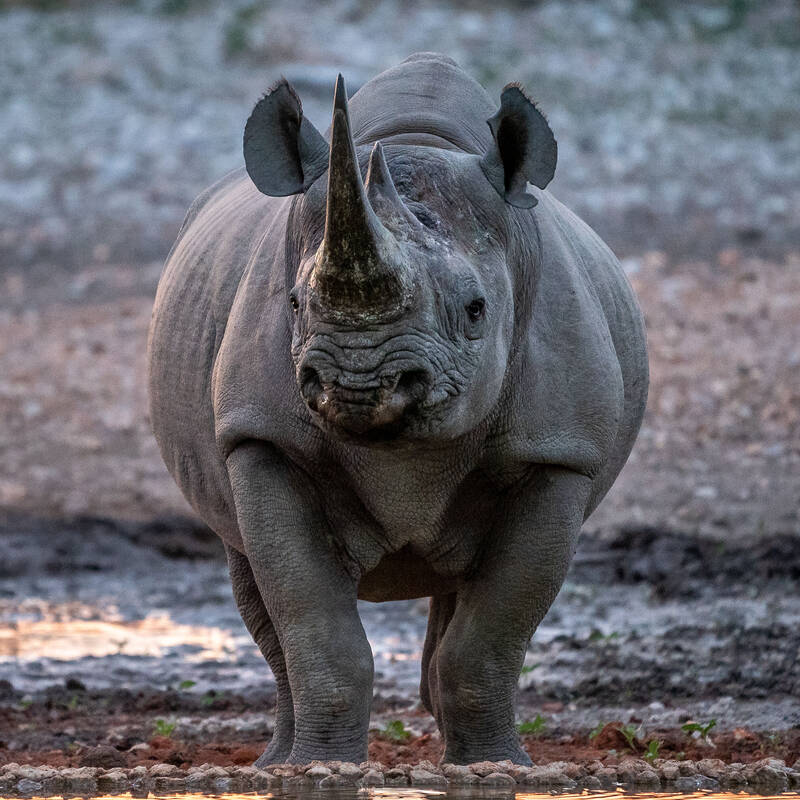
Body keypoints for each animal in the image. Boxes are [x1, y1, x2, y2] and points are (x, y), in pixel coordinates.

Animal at [147, 53, 648, 764]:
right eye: (294, 304)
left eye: (476, 310)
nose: (360, 381)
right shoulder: (261, 438)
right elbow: (313, 625)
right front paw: (319, 768)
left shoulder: (558, 453)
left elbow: (492, 634)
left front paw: (496, 766)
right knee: (252, 581)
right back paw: (276, 760)